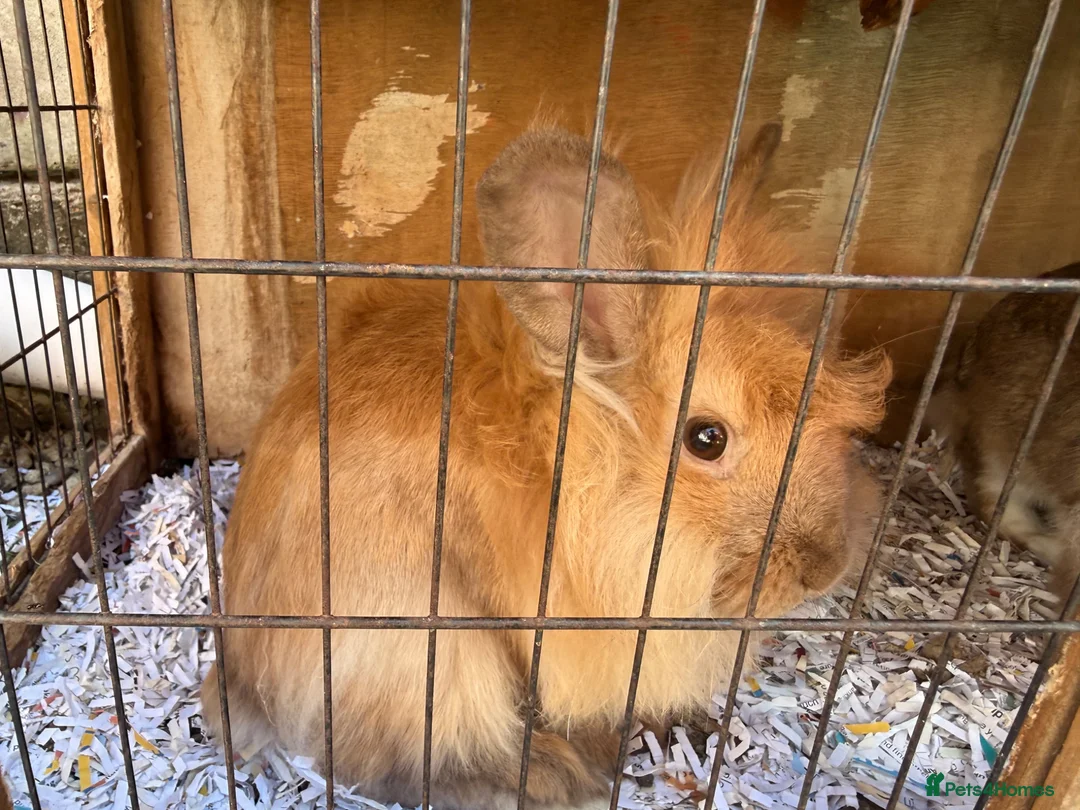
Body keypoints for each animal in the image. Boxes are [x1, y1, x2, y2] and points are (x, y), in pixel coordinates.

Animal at [200, 120, 892, 810]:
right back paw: (557, 775)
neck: (571, 470)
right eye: (706, 439)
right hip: (424, 657)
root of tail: (245, 676)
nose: (825, 568)